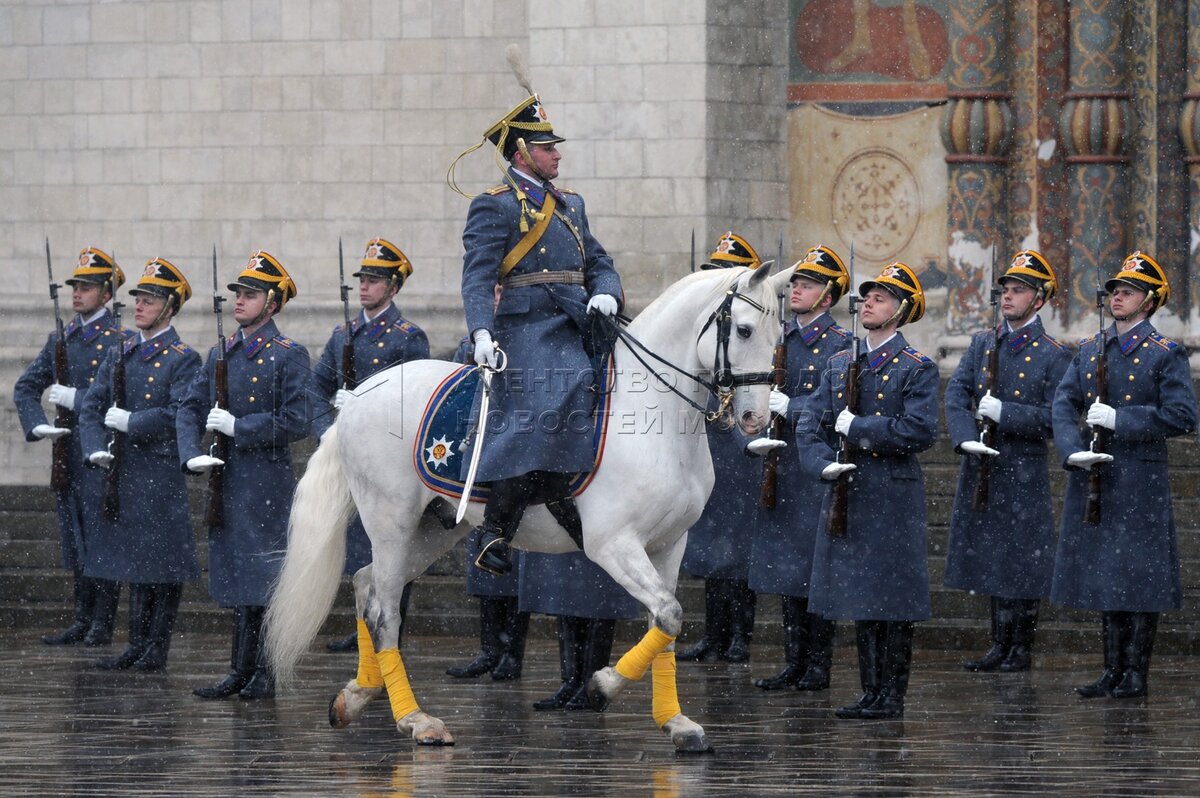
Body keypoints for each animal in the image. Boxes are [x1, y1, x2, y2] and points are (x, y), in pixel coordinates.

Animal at [265, 266, 787, 753]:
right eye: (743, 330)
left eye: (779, 334)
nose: (755, 418)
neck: (653, 417)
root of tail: (356, 395)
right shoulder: (612, 544)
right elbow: (670, 614)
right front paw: (603, 686)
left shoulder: (671, 544)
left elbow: (667, 622)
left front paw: (676, 722)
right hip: (390, 520)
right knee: (385, 610)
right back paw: (415, 720)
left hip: (436, 527)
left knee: (365, 583)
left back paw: (357, 695)